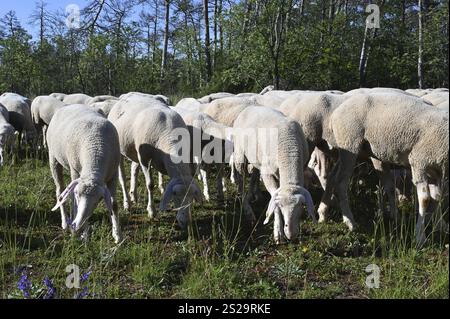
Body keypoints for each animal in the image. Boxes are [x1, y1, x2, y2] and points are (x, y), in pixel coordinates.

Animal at [46, 104, 122, 242]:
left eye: (99, 199)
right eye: (76, 194)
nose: (76, 225)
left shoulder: (113, 174)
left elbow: (114, 204)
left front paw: (118, 235)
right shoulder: (75, 171)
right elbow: (73, 202)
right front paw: (82, 234)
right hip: (53, 159)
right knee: (60, 191)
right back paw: (65, 222)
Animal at [232, 106, 316, 244]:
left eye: (301, 205)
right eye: (280, 205)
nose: (291, 234)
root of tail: (248, 107)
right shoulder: (267, 174)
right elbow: (274, 197)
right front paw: (278, 233)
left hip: (257, 158)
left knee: (254, 175)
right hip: (240, 154)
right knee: (241, 181)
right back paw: (248, 210)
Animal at [322, 94, 448, 246]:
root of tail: (335, 113)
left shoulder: (436, 169)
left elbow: (437, 197)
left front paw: (439, 226)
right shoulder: (419, 161)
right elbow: (425, 199)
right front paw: (420, 237)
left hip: (349, 149)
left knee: (332, 177)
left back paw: (322, 213)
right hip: (349, 143)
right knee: (341, 183)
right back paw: (350, 222)